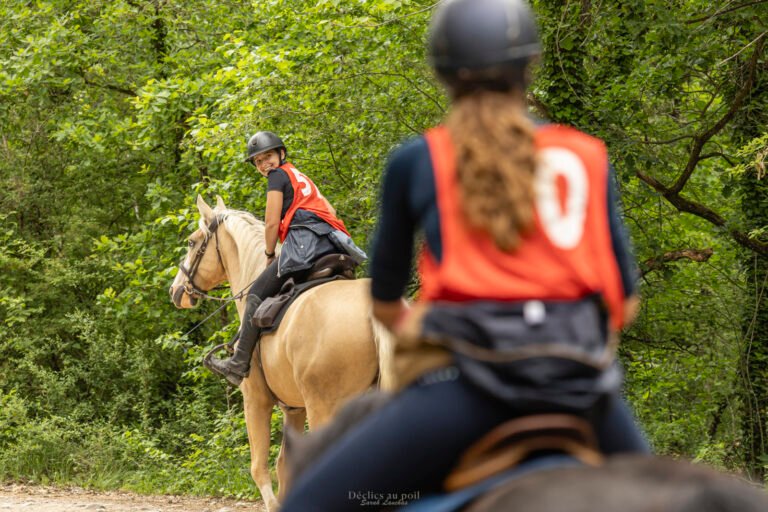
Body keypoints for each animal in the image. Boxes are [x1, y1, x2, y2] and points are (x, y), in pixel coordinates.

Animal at [168, 195, 394, 511]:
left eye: (191, 242)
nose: (175, 291)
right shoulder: (294, 409)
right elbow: (285, 465)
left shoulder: (255, 400)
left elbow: (260, 467)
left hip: (325, 410)